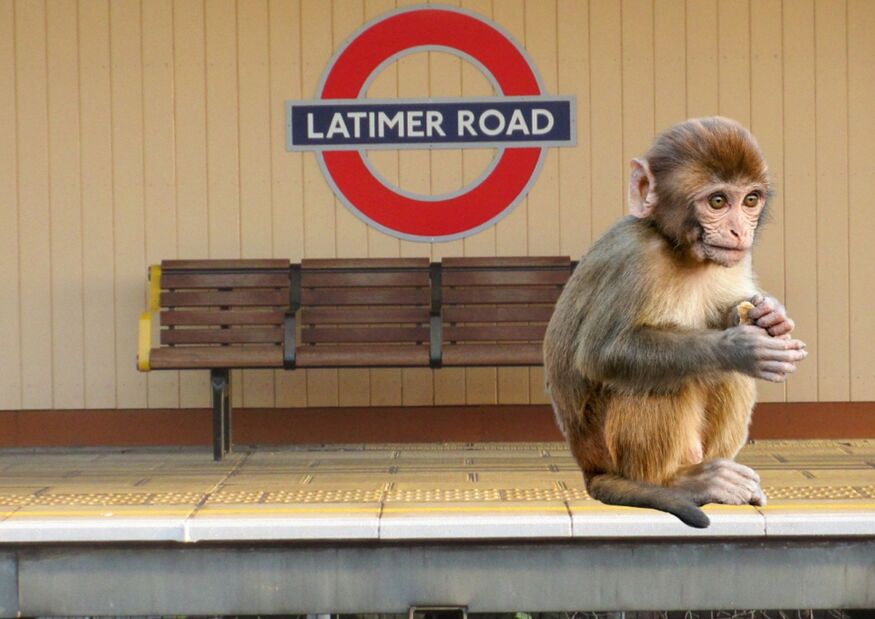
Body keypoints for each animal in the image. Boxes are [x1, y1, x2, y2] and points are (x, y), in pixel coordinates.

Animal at [543, 116, 807, 528]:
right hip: (606, 450)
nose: (739, 231)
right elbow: (604, 355)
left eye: (750, 200)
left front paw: (771, 315)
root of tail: (589, 469)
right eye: (718, 201)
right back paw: (677, 482)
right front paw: (740, 347)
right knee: (660, 379)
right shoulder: (634, 259)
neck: (679, 248)